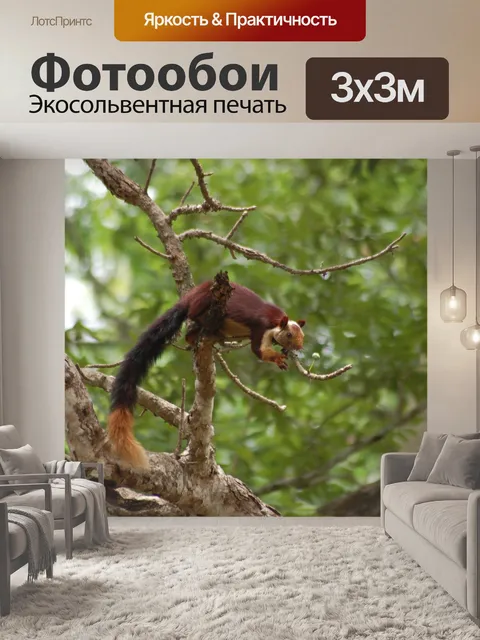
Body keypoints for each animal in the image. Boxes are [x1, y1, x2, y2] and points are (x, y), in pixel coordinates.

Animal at [108, 281, 306, 468]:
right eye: (289, 334)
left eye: (302, 335)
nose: (300, 346)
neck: (275, 321)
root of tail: (188, 298)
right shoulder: (261, 327)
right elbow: (259, 351)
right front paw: (279, 358)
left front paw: (284, 354)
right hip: (203, 300)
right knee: (193, 315)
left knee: (190, 333)